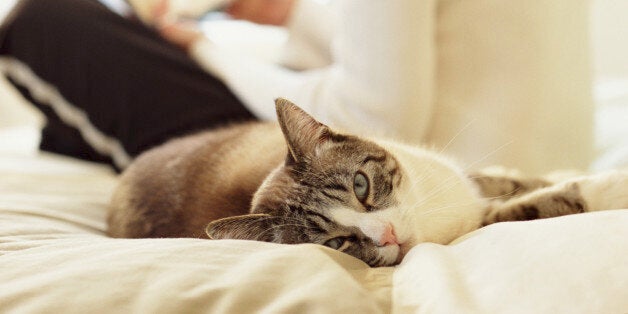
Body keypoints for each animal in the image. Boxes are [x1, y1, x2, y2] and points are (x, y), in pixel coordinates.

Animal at [108, 97, 628, 264]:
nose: (389, 234)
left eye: (361, 186)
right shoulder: (479, 218)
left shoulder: (469, 182)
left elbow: (510, 180)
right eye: (337, 243)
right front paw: (609, 184)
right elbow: (533, 203)